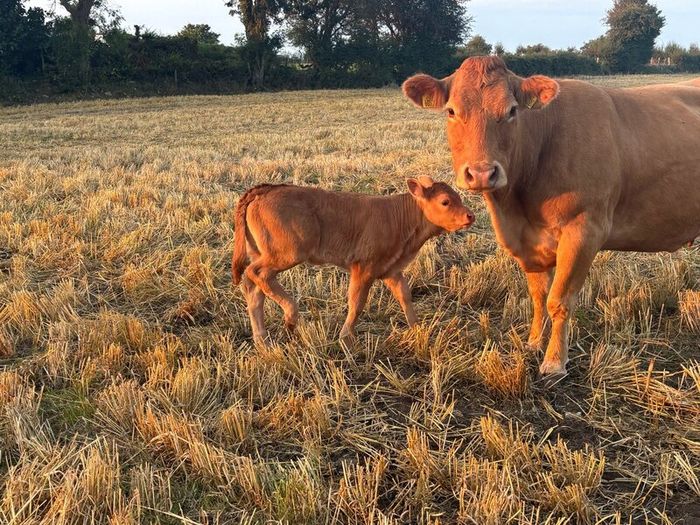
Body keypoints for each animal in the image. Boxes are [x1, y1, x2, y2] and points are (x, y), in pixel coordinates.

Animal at [232, 177, 474, 344]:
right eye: (445, 201)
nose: (470, 216)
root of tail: (266, 189)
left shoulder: (391, 270)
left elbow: (405, 297)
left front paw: (416, 328)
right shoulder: (364, 267)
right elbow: (357, 303)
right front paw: (346, 336)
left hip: (264, 252)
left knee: (254, 290)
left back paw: (262, 340)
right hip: (286, 253)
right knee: (256, 273)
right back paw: (291, 317)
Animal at [402, 56, 700, 379]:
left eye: (511, 110)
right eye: (451, 111)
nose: (481, 173)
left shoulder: (584, 231)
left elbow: (559, 300)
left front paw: (555, 362)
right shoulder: (526, 242)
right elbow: (538, 297)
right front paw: (534, 342)